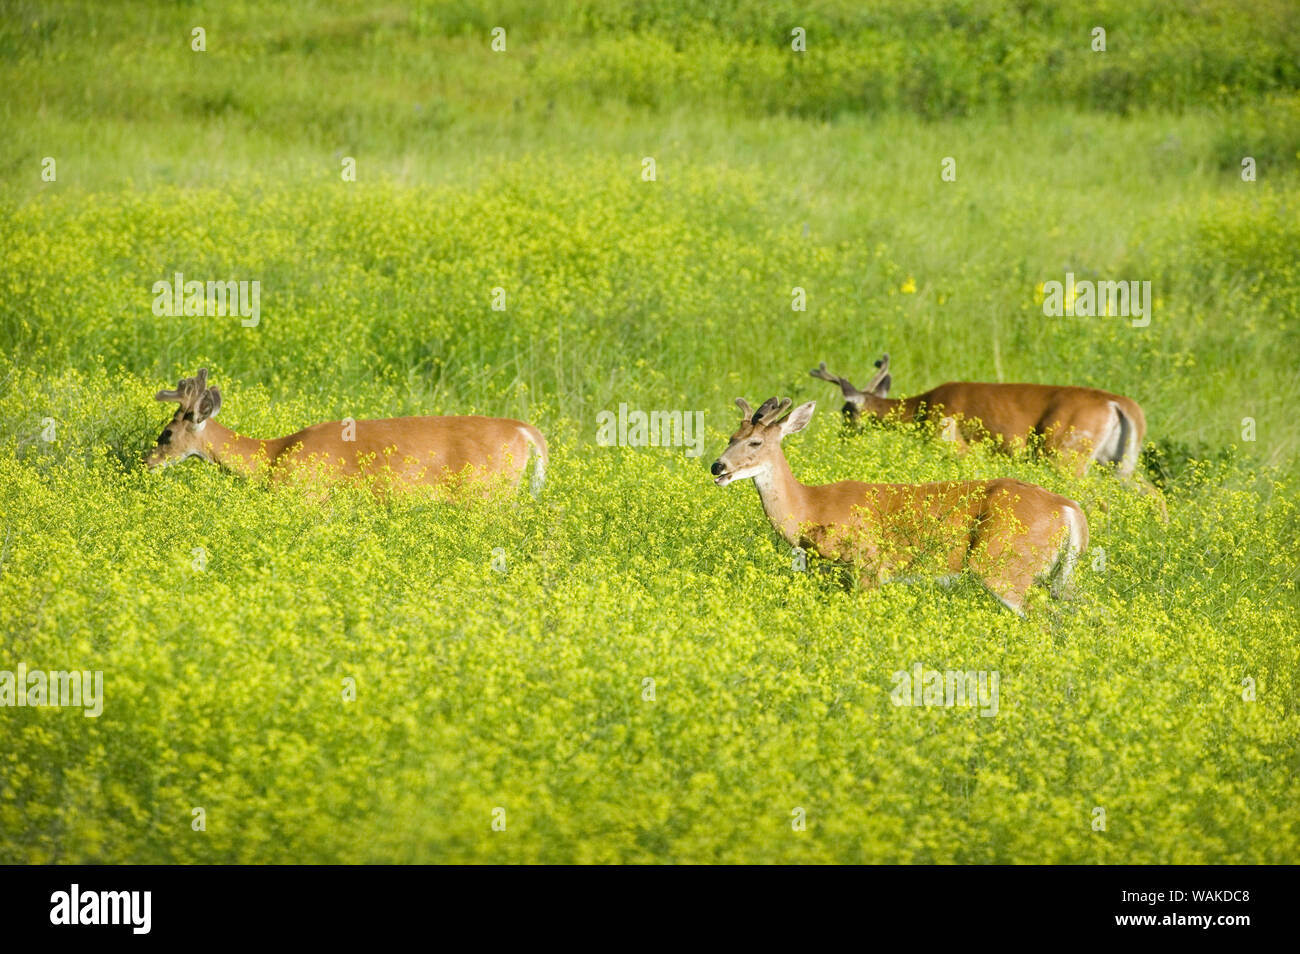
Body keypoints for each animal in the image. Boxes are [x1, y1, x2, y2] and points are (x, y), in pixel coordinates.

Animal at [712, 397, 1086, 616]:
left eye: (755, 442)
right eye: (730, 438)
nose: (717, 467)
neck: (810, 508)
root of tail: (1069, 508)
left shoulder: (868, 564)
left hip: (1004, 566)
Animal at [811, 353, 1170, 512]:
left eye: (845, 412)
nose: (841, 438)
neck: (924, 406)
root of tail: (1119, 404)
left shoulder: (955, 443)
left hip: (1067, 455)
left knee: (1099, 499)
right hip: (1117, 462)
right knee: (1153, 493)